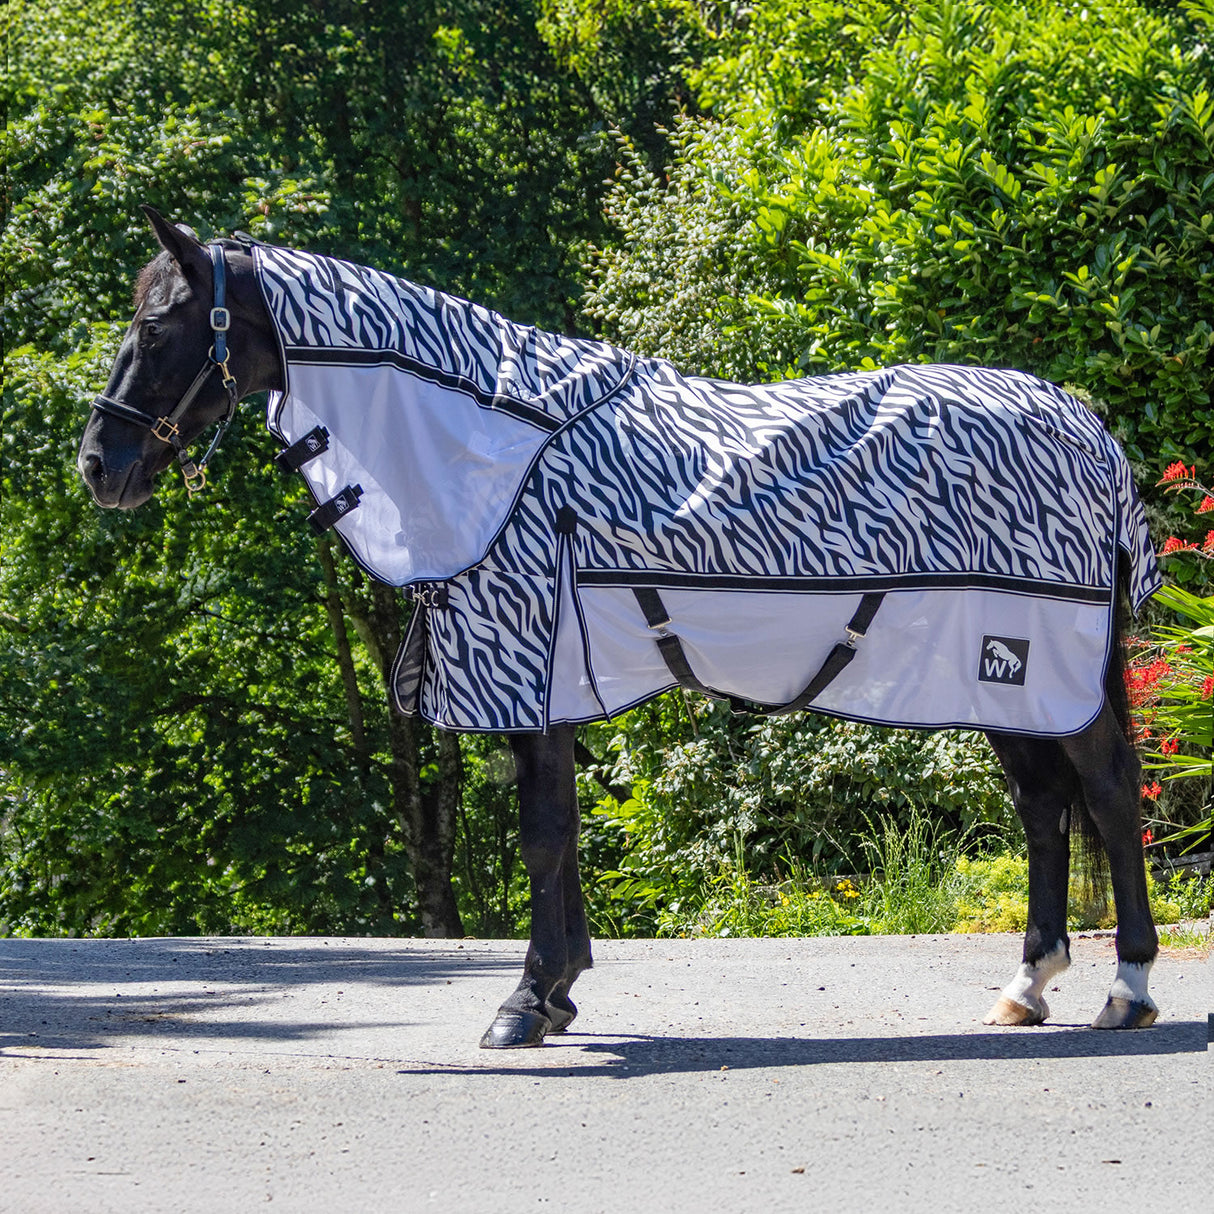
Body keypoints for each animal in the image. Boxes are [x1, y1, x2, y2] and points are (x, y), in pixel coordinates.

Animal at [77, 207, 1162, 1046]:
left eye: (162, 324)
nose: (98, 464)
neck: (495, 446)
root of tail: (1086, 426)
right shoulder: (549, 682)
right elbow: (557, 832)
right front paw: (557, 991)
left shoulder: (526, 666)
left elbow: (542, 835)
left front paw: (523, 1002)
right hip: (1004, 682)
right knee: (1042, 809)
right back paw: (1026, 985)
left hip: (1039, 672)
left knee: (1108, 796)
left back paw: (1128, 987)